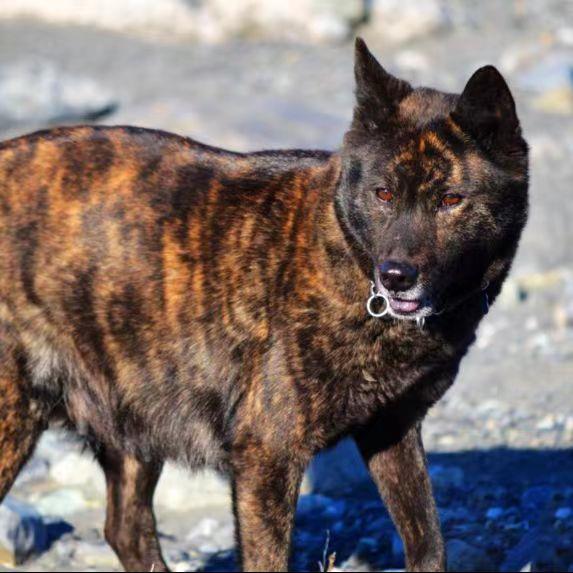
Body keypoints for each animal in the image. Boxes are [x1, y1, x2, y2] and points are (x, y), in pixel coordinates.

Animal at [0, 38, 528, 568]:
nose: (395, 277)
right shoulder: (268, 456)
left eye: (450, 200)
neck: (345, 254)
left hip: (135, 417)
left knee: (125, 527)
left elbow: (429, 541)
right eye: (383, 194)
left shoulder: (392, 429)